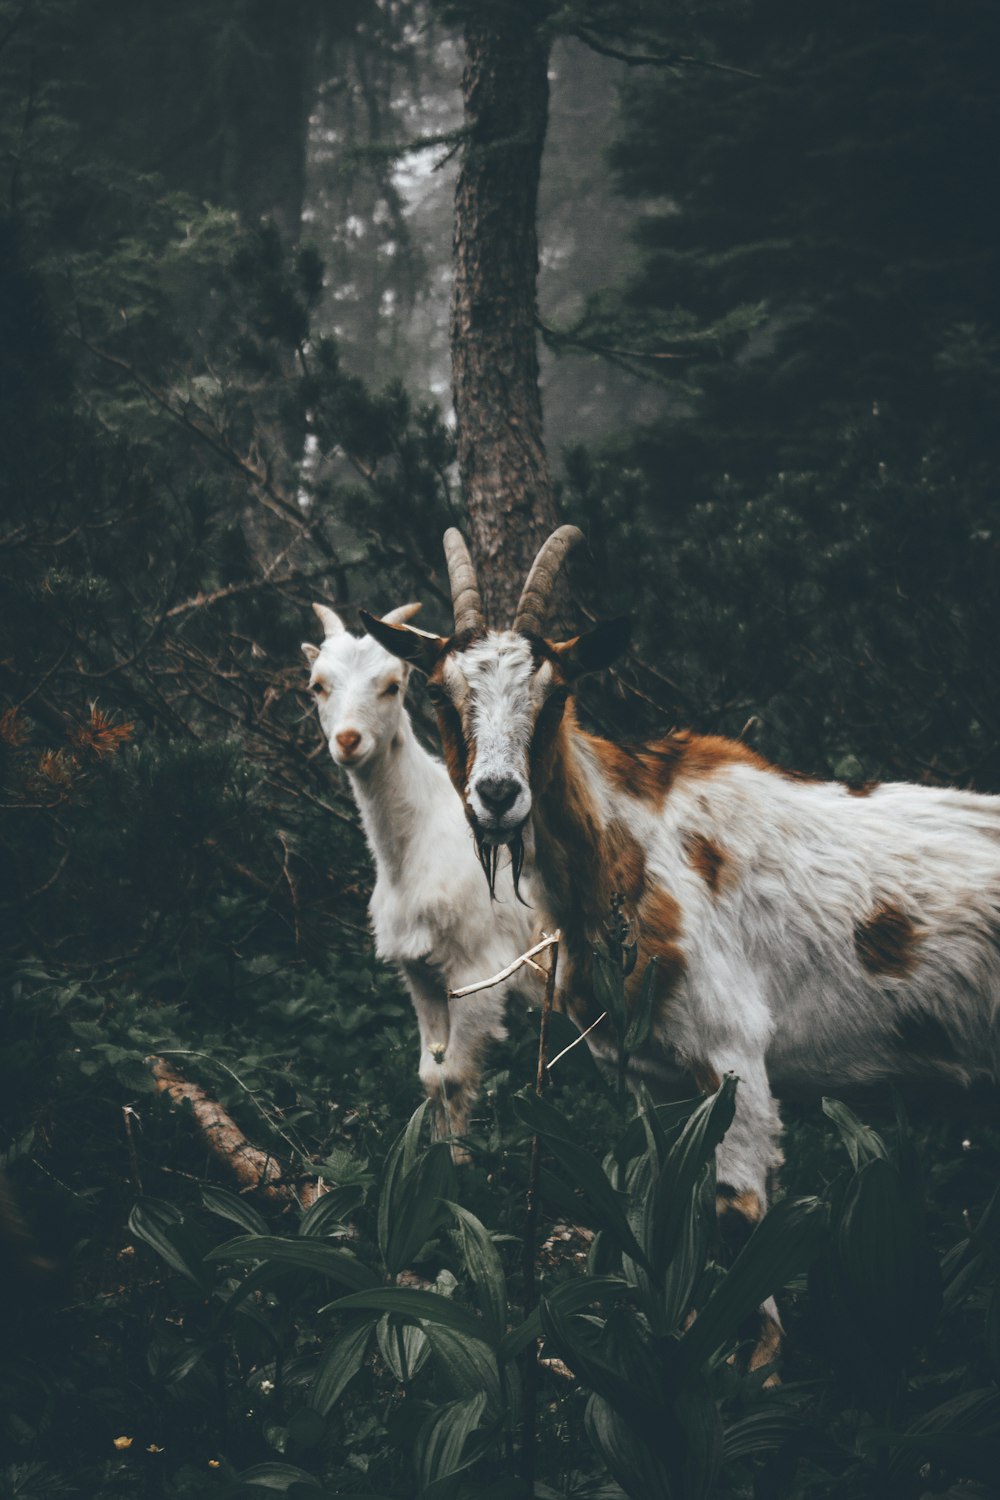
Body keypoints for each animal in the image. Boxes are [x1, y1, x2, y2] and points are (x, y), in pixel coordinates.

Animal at [301, 603, 536, 1152]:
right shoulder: (419, 970)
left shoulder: (480, 974)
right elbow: (432, 1076)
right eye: (317, 685)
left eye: (392, 685)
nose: (348, 740)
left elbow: (455, 1077)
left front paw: (459, 1166)